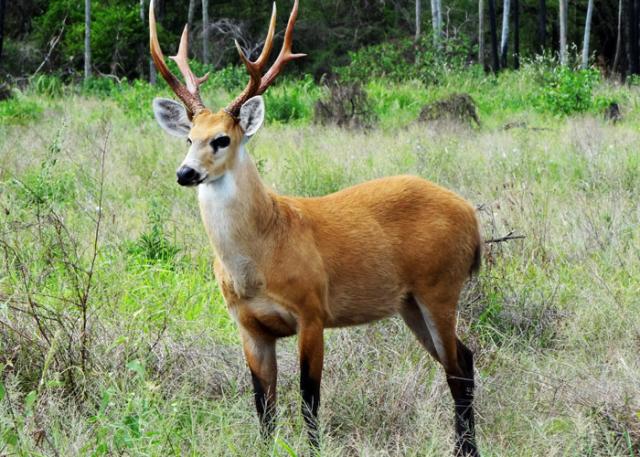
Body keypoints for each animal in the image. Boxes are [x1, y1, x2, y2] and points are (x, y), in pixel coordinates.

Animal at [149, 1, 480, 454]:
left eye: (222, 139)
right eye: (188, 138)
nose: (185, 173)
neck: (260, 255)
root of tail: (471, 216)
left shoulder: (311, 311)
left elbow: (309, 397)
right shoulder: (248, 325)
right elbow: (264, 406)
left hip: (441, 285)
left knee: (457, 368)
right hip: (410, 302)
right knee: (465, 358)